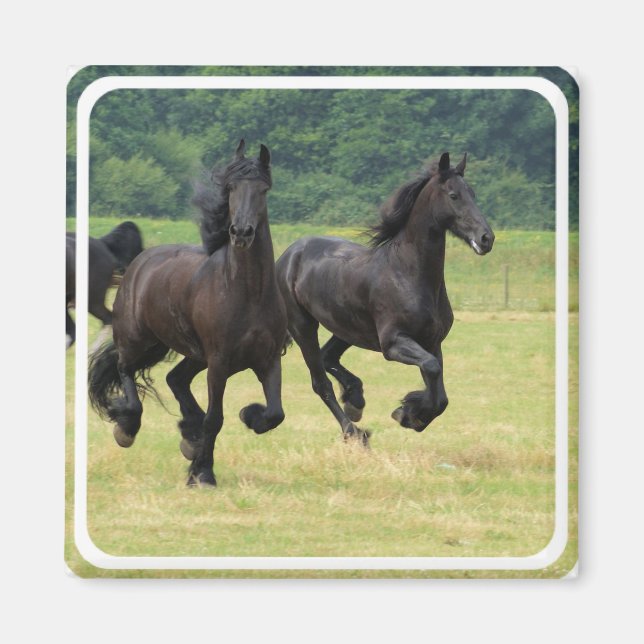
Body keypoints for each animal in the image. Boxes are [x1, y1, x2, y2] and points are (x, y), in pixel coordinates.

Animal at [88, 140, 288, 487]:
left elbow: (275, 414)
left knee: (175, 378)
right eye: (231, 188)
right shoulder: (219, 364)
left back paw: (189, 436)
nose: (241, 232)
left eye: (263, 189)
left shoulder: (268, 359)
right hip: (139, 339)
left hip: (193, 354)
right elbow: (215, 418)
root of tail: (141, 260)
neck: (247, 293)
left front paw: (249, 415)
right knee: (125, 368)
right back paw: (127, 427)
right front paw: (204, 473)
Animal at [275, 152, 494, 446]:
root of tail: (288, 256)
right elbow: (432, 370)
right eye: (453, 195)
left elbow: (439, 393)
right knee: (320, 382)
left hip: (346, 328)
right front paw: (408, 412)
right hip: (304, 327)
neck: (408, 274)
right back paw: (354, 432)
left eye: (472, 193)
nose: (486, 238)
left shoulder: (432, 342)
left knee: (327, 357)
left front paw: (410, 414)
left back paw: (355, 400)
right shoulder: (393, 343)